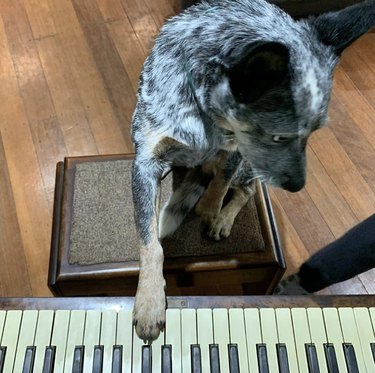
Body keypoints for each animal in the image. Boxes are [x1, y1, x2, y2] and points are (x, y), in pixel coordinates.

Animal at [131, 0, 375, 342]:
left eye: (314, 132)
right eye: (279, 137)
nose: (298, 187)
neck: (204, 110)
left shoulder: (236, 148)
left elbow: (221, 182)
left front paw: (212, 211)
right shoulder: (145, 162)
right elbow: (150, 241)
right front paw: (149, 301)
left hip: (250, 168)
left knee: (243, 188)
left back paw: (221, 215)